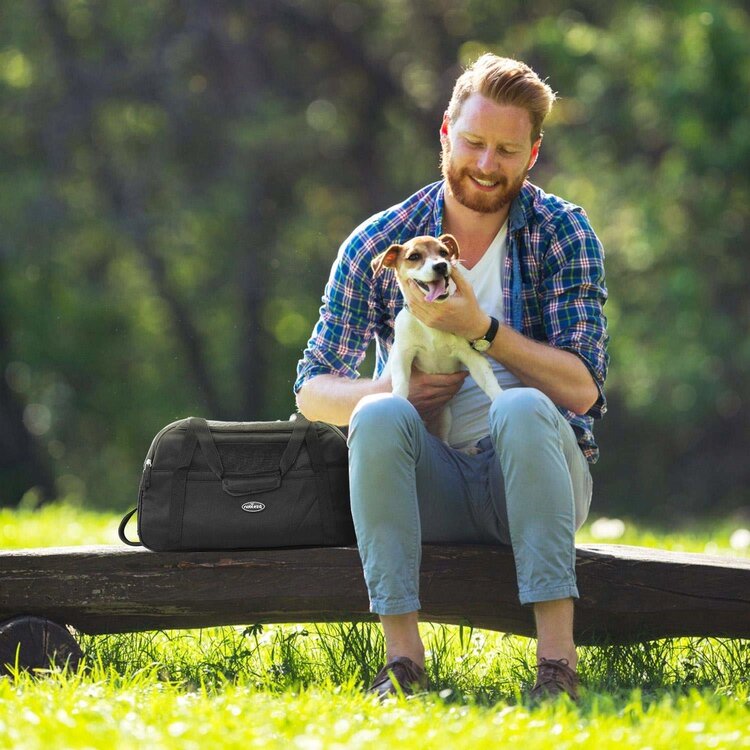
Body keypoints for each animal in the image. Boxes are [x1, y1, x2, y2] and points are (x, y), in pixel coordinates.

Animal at [372, 235, 502, 444]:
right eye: (414, 256)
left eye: (443, 252)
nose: (441, 265)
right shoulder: (403, 354)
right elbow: (401, 382)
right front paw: (398, 399)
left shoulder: (471, 355)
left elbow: (488, 380)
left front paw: (502, 397)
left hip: (445, 417)